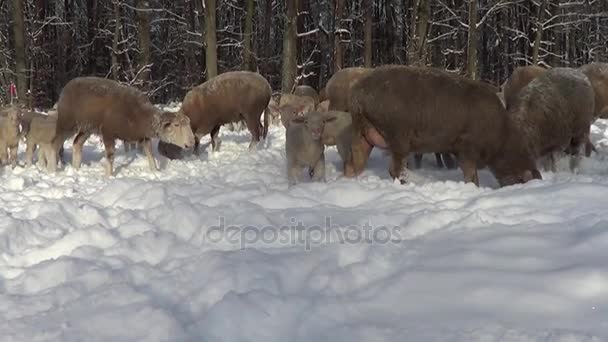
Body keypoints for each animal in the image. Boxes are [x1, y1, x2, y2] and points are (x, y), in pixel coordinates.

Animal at [54, 77, 194, 176]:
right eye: (176, 125)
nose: (191, 143)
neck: (140, 114)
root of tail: (68, 85)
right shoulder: (108, 132)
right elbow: (110, 156)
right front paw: (108, 176)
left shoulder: (144, 136)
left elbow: (150, 154)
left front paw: (155, 171)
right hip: (67, 123)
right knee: (57, 142)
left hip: (87, 127)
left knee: (77, 143)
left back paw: (75, 169)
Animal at [344, 65, 540, 188]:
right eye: (521, 179)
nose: (538, 178)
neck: (500, 138)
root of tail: (358, 95)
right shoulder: (467, 146)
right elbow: (471, 174)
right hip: (397, 134)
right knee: (394, 169)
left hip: (361, 132)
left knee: (353, 164)